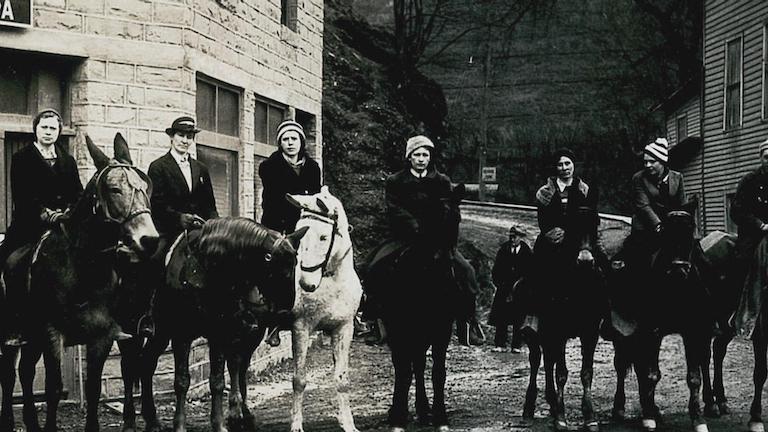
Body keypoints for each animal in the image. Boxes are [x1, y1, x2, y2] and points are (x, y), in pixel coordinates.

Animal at [286, 187, 364, 432]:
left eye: (323, 237)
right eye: (299, 233)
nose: (306, 284)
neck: (331, 280)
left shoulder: (343, 329)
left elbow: (341, 379)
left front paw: (347, 422)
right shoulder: (300, 328)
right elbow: (299, 380)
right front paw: (296, 424)